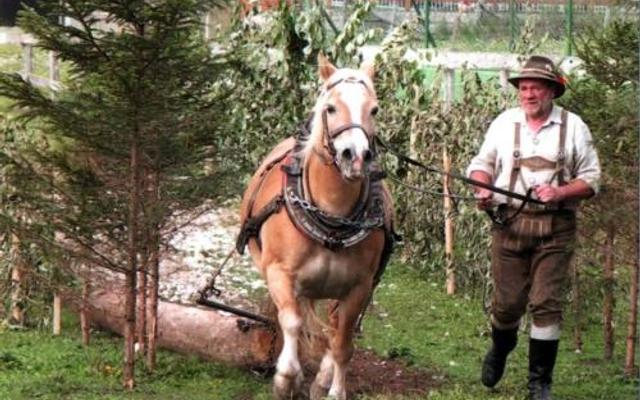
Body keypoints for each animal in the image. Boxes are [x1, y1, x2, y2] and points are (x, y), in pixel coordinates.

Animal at [236, 54, 392, 400]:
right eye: (331, 108)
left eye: (374, 109)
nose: (355, 157)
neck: (332, 220)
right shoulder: (280, 274)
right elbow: (292, 323)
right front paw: (286, 378)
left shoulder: (359, 288)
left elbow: (343, 342)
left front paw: (332, 389)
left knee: (334, 329)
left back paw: (322, 378)